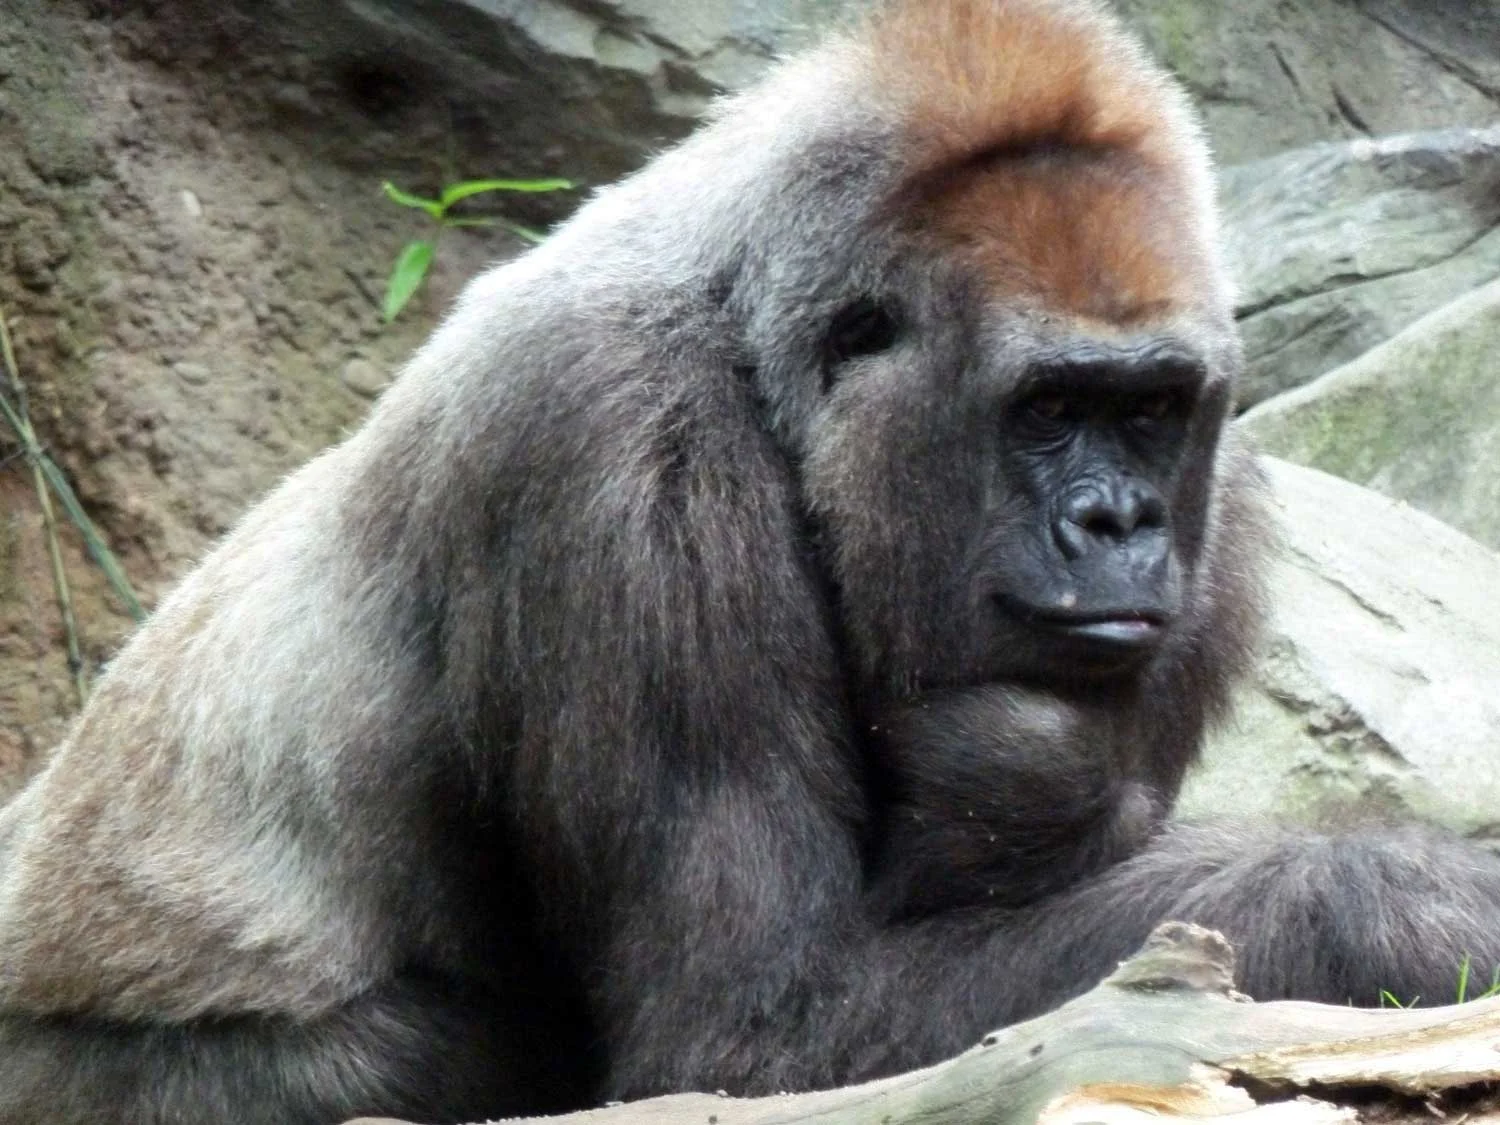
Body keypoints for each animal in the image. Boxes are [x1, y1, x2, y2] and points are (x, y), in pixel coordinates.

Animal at [3, 2, 1500, 1123]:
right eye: (1047, 409)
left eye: (1149, 411)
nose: (1118, 524)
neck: (764, 338)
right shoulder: (610, 444)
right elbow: (754, 1032)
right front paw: (1407, 903)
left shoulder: (1219, 507)